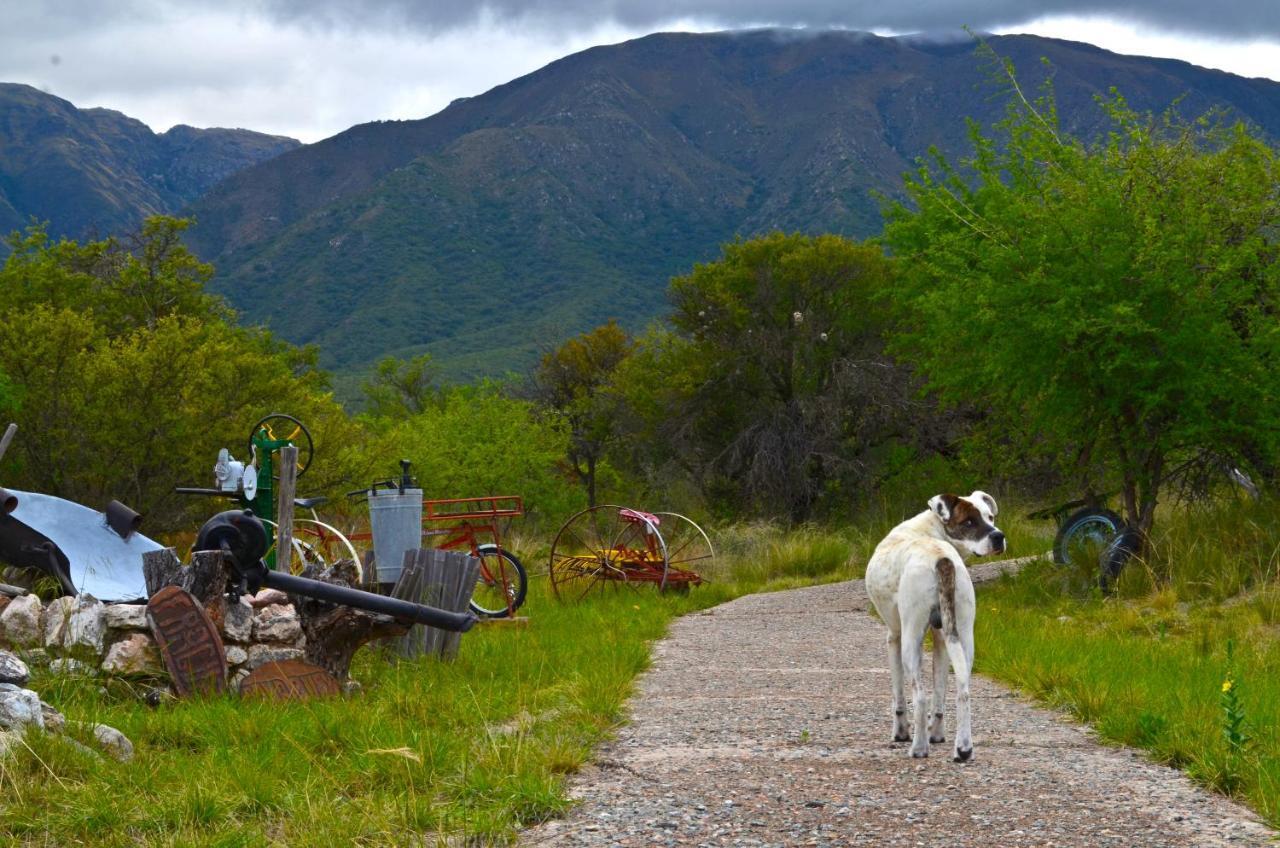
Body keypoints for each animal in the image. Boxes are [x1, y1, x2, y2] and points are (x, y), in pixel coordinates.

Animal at [865, 491, 1003, 763]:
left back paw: (919, 747)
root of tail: (942, 558)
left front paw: (901, 733)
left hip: (911, 641)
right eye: (969, 521)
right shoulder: (941, 641)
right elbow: (939, 695)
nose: (998, 536)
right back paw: (963, 748)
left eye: (989, 517)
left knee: (919, 697)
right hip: (964, 638)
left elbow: (899, 696)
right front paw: (937, 734)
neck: (932, 532)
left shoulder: (894, 637)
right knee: (963, 691)